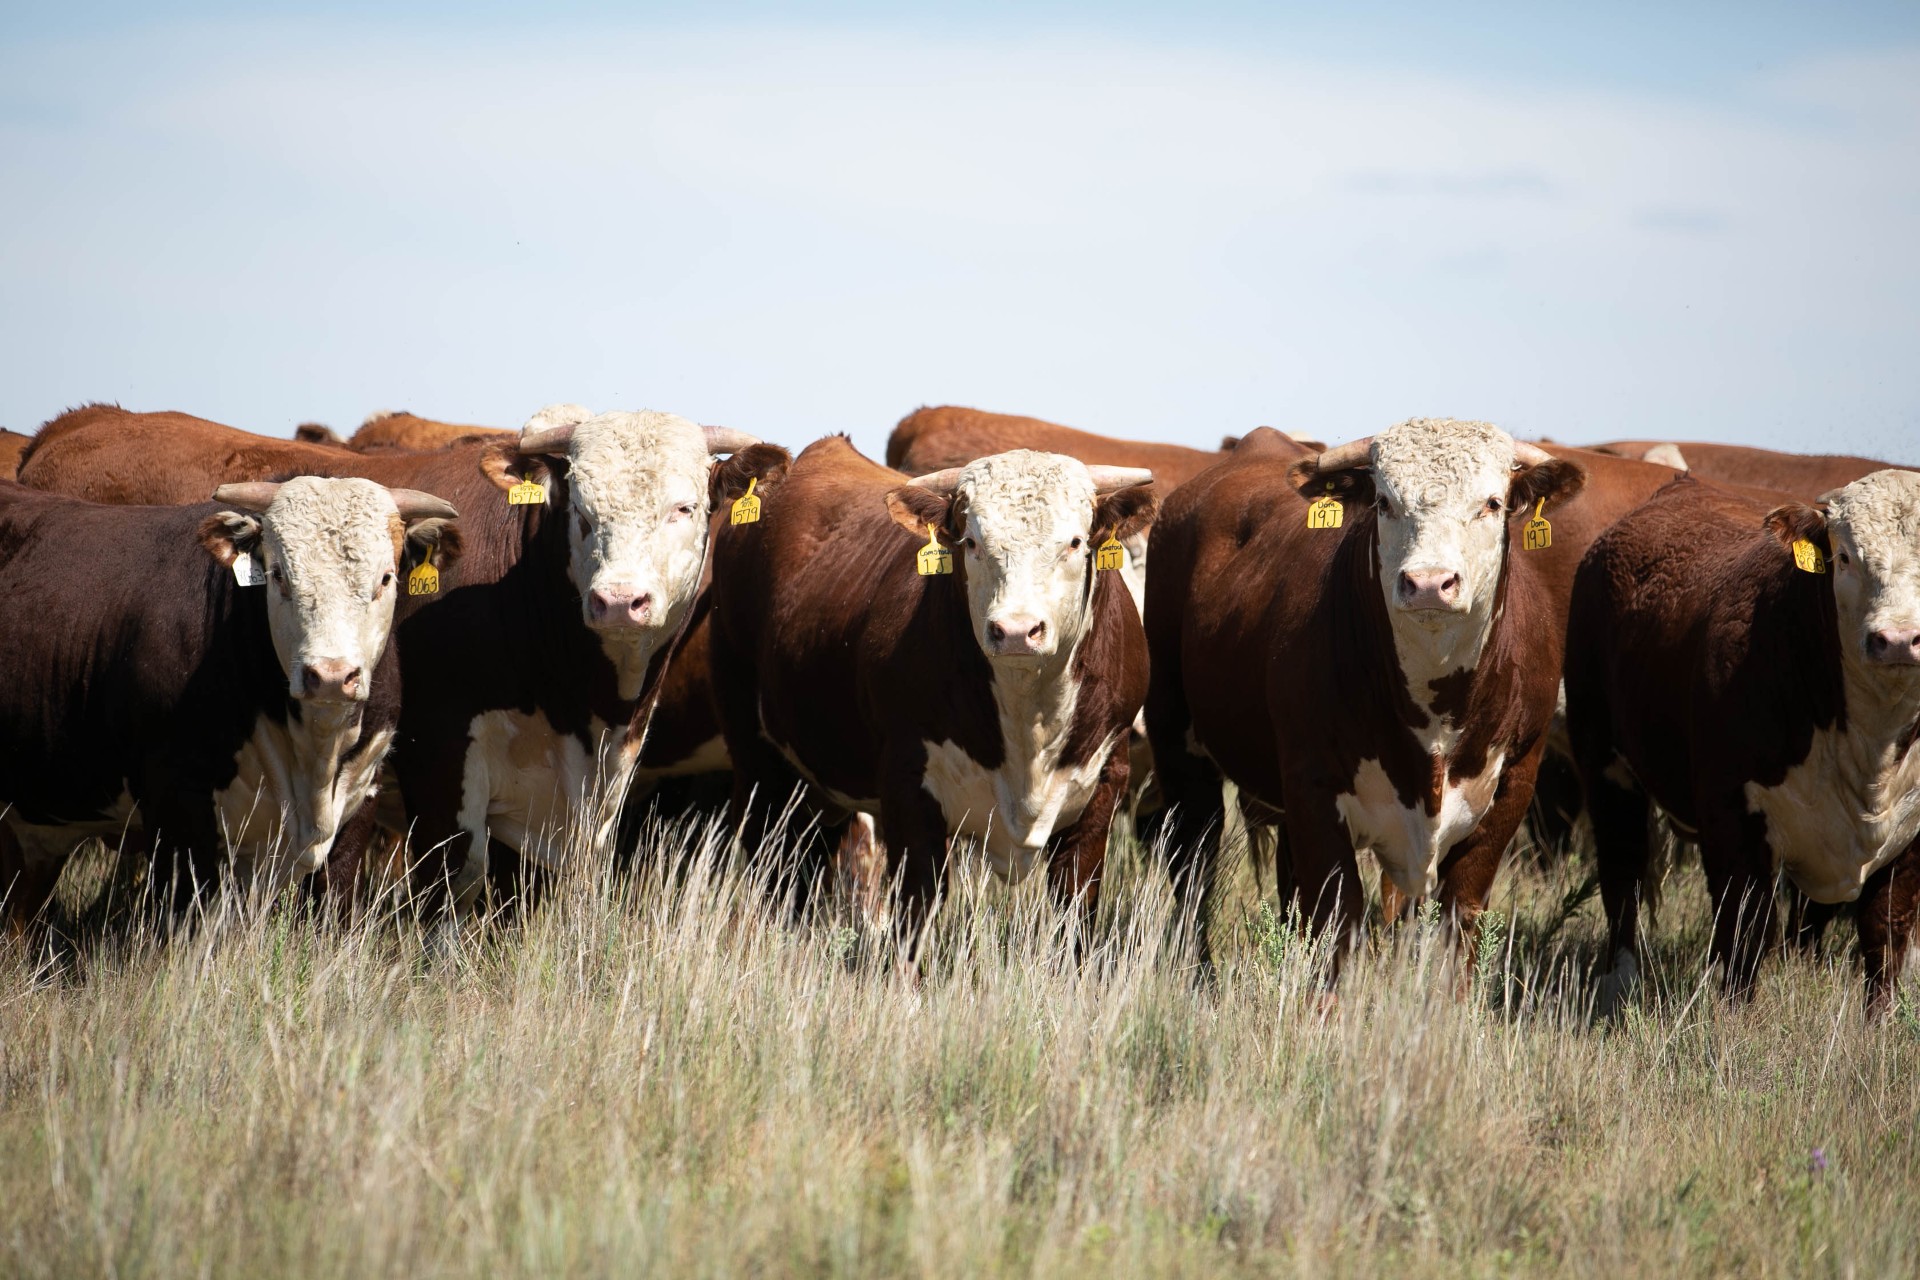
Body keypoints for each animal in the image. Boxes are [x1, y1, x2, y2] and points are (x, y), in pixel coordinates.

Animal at [0, 476, 459, 932]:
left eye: (385, 579)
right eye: (278, 575)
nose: (330, 675)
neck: (313, 756)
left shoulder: (360, 800)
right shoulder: (177, 810)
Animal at [707, 437, 1153, 947]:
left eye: (1075, 543)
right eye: (971, 542)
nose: (1016, 631)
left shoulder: (1103, 787)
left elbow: (1075, 912)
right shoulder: (907, 789)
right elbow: (917, 908)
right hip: (755, 757)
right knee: (771, 861)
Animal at [1145, 420, 1588, 976]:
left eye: (1492, 502)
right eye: (1383, 501)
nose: (1428, 583)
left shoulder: (1514, 787)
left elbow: (1460, 918)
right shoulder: (1315, 793)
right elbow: (1336, 921)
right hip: (1177, 743)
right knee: (1194, 863)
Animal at [1567, 471, 1920, 1013]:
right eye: (1843, 556)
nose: (1898, 641)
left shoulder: (1909, 841)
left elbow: (1884, 933)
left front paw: (1879, 1022)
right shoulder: (1735, 819)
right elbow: (1746, 934)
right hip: (1604, 763)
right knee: (1622, 874)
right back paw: (1620, 982)